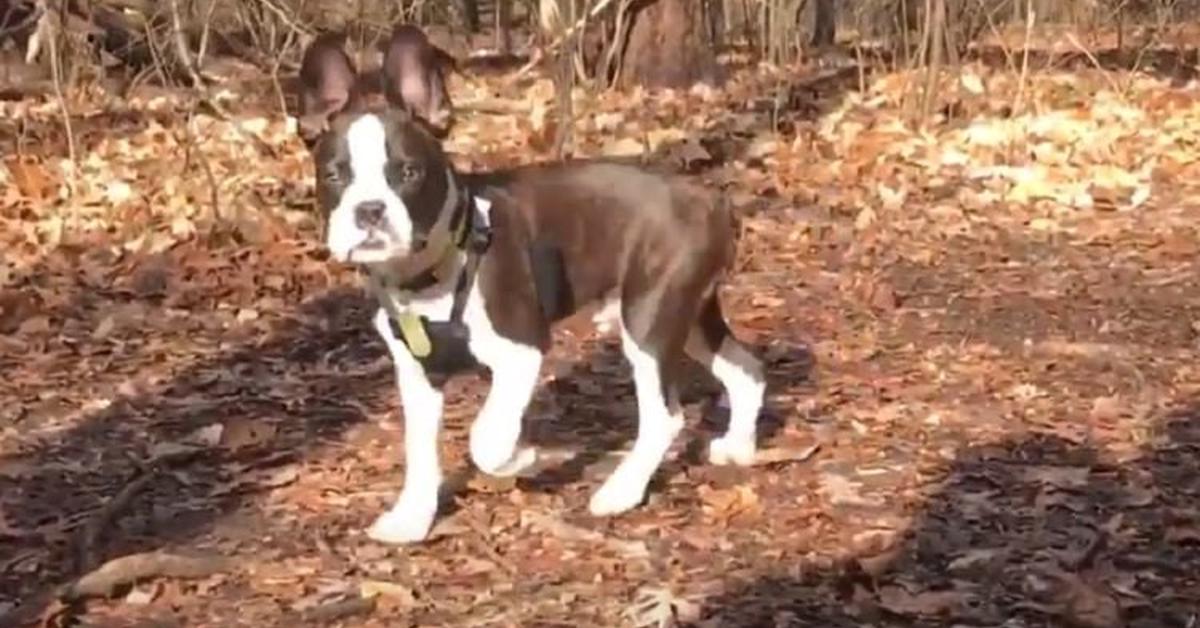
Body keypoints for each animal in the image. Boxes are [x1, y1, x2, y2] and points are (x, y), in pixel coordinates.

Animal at [300, 38, 768, 545]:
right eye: (333, 176)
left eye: (408, 173)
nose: (369, 210)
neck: (427, 274)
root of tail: (710, 197)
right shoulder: (417, 376)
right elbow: (419, 451)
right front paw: (412, 517)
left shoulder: (520, 353)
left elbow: (486, 439)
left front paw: (525, 457)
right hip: (683, 313)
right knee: (747, 370)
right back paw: (739, 446)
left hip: (648, 322)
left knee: (665, 415)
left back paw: (621, 491)